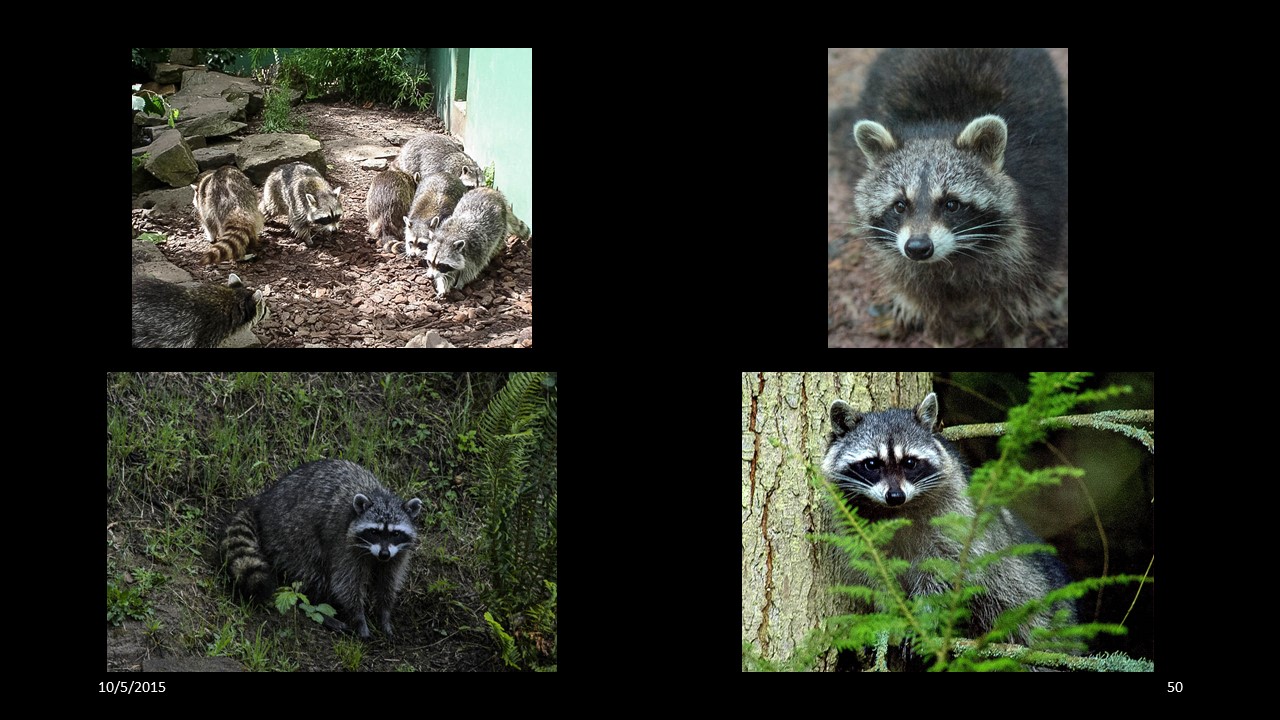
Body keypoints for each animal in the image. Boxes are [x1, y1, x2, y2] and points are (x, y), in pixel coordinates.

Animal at [218, 459, 422, 638]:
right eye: (374, 532)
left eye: (395, 533)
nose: (384, 554)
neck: (379, 495)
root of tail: (264, 500)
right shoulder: (344, 544)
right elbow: (346, 584)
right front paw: (359, 618)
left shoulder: (398, 554)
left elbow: (388, 582)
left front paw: (385, 615)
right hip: (291, 534)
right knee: (313, 572)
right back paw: (322, 609)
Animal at [821, 393, 1075, 649]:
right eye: (872, 464)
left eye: (910, 463)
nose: (895, 496)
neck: (894, 512)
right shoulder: (856, 527)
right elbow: (875, 572)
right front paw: (890, 613)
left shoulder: (953, 514)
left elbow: (944, 569)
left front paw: (924, 619)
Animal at [850, 48, 1067, 347]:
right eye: (900, 206)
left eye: (951, 204)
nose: (918, 248)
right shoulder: (912, 269)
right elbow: (931, 309)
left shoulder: (1037, 230)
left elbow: (1015, 304)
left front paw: (1015, 336)